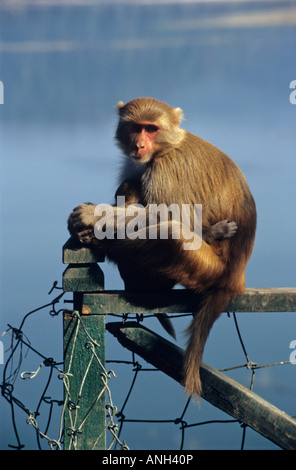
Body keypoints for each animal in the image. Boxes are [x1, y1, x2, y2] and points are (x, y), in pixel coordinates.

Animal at [67, 97, 256, 398]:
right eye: (136, 128)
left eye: (152, 129)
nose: (139, 145)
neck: (165, 147)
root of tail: (235, 278)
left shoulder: (166, 169)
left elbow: (175, 218)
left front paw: (91, 214)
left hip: (207, 269)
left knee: (173, 234)